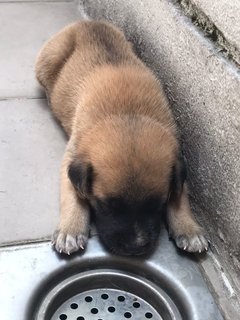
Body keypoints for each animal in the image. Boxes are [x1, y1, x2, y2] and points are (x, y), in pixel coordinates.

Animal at [35, 20, 208, 255]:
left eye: (158, 204)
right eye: (107, 206)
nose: (136, 248)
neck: (127, 113)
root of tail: (87, 22)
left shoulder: (177, 159)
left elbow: (181, 195)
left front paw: (188, 229)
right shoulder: (72, 157)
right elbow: (73, 195)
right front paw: (70, 229)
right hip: (47, 60)